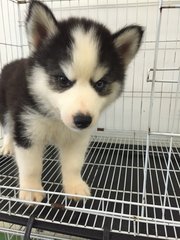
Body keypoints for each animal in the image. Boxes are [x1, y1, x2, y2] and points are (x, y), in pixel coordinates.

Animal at [0, 0, 143, 202]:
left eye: (100, 84)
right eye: (62, 80)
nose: (83, 120)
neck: (56, 118)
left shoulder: (78, 139)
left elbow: (73, 165)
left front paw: (74, 186)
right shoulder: (27, 129)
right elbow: (31, 166)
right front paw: (32, 189)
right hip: (5, 108)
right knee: (7, 127)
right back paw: (6, 145)